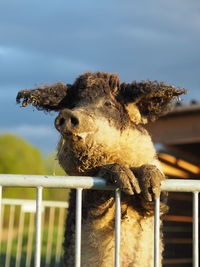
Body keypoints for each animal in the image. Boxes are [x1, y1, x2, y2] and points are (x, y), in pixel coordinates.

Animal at [16, 72, 185, 266]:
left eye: (108, 104)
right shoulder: (83, 194)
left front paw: (150, 185)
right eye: (72, 104)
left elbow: (159, 200)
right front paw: (128, 182)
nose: (67, 114)